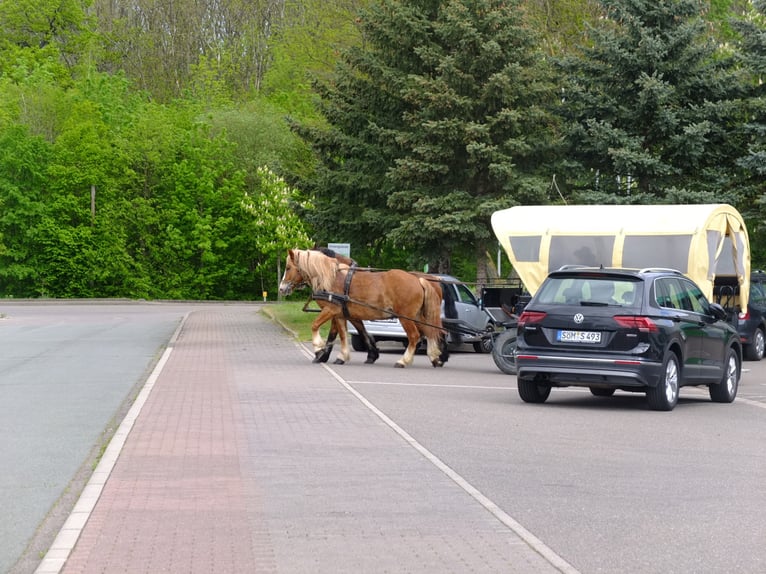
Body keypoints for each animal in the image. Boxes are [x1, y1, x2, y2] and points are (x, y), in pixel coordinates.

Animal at [278, 249, 450, 368]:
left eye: (288, 267)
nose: (281, 288)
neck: (332, 278)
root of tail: (418, 279)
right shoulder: (342, 315)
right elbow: (343, 334)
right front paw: (342, 356)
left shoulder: (331, 311)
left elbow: (315, 326)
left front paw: (319, 348)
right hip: (418, 316)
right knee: (430, 332)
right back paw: (435, 357)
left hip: (405, 317)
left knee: (415, 336)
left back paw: (404, 360)